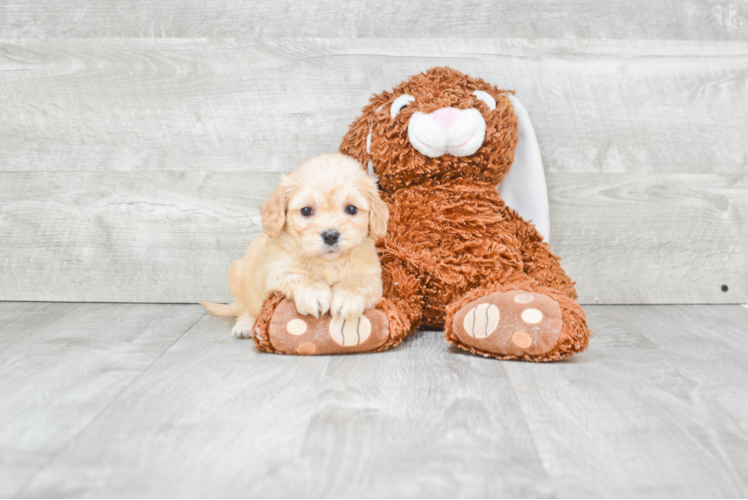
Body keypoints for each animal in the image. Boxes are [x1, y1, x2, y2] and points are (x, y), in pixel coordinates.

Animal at [202, 152, 388, 338]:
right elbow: (297, 273)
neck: (326, 262)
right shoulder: (274, 269)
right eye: (306, 211)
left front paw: (348, 299)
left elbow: (358, 282)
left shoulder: (373, 276)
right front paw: (314, 293)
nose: (330, 236)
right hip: (238, 276)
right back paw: (245, 324)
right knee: (246, 308)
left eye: (351, 209)